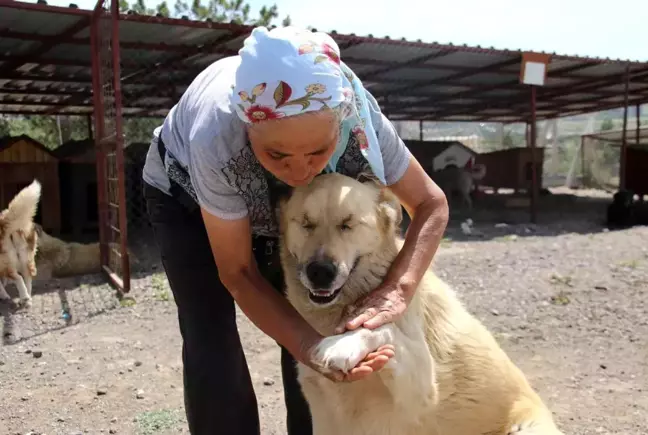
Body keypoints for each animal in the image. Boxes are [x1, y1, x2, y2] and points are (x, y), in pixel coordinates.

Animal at [0, 181, 41, 310]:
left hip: (7, 262)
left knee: (18, 277)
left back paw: (24, 297)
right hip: (26, 258)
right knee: (27, 278)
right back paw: (26, 299)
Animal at [278, 174, 560, 435]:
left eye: (347, 224)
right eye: (306, 223)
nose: (320, 272)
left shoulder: (422, 390)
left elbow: (384, 327)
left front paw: (343, 344)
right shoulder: (324, 410)